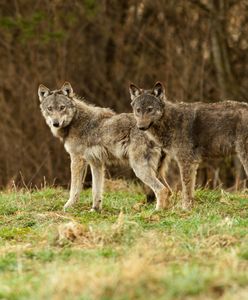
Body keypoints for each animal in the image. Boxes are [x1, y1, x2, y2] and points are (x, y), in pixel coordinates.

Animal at [38, 81, 170, 211]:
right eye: (50, 108)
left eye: (62, 107)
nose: (55, 123)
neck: (76, 120)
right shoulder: (96, 162)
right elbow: (96, 190)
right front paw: (95, 209)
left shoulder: (77, 159)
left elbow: (75, 189)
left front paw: (67, 208)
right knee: (169, 190)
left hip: (139, 169)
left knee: (162, 190)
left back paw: (156, 212)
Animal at [129, 81, 248, 209]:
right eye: (138, 110)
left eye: (150, 109)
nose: (140, 127)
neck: (169, 121)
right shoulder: (191, 163)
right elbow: (189, 189)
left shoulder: (186, 161)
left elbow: (186, 188)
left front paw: (185, 208)